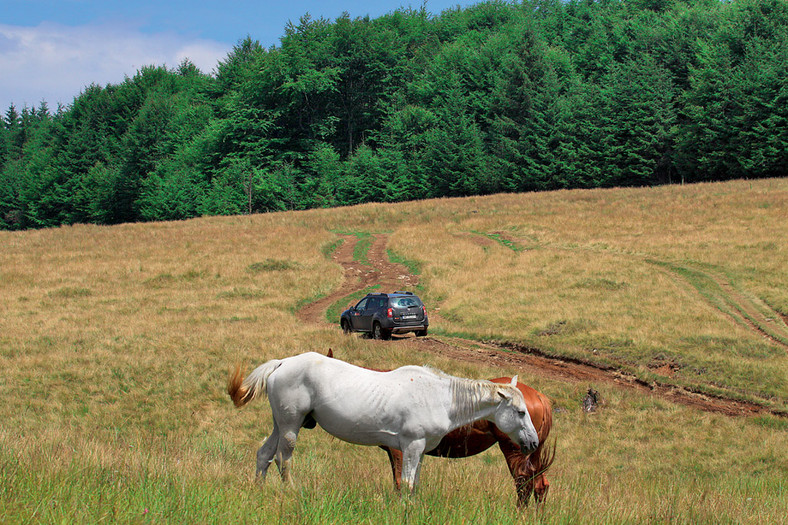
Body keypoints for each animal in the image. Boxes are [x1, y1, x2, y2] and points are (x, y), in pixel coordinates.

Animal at [225, 352, 540, 492]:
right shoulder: (411, 446)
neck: (439, 396)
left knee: (264, 454)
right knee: (283, 458)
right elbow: (407, 483)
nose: (534, 443)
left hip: (281, 424)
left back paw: (258, 491)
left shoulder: (419, 450)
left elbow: (413, 483)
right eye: (521, 412)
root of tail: (282, 363)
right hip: (291, 426)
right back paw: (292, 490)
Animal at [324, 350, 556, 506]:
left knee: (524, 485)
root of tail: (540, 397)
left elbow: (401, 483)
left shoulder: (400, 451)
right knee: (540, 486)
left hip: (516, 452)